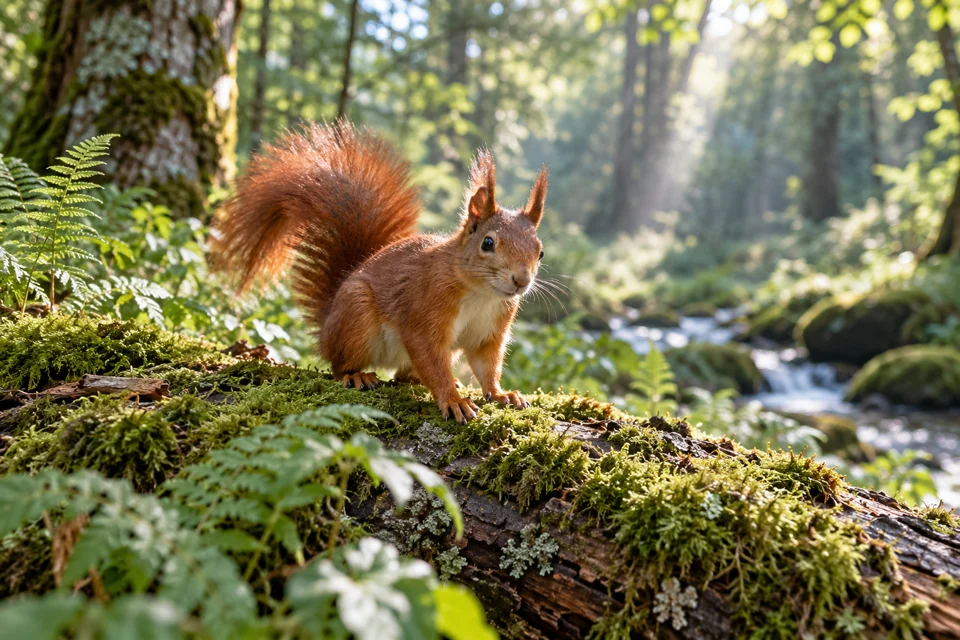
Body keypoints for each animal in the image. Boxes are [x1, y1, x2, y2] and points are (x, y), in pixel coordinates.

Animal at [212, 121, 548, 423]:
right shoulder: (424, 310)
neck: (481, 294)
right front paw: (453, 401)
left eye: (540, 251)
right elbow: (430, 357)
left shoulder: (490, 330)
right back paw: (356, 376)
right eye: (488, 243)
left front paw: (502, 394)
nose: (521, 281)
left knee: (403, 375)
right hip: (356, 317)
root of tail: (327, 326)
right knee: (339, 364)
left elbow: (486, 365)